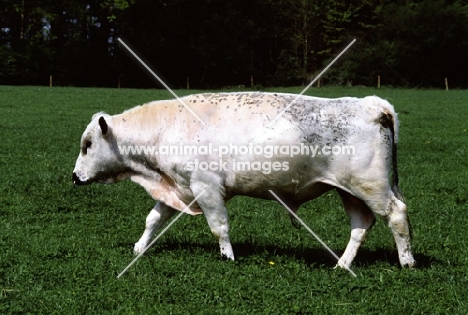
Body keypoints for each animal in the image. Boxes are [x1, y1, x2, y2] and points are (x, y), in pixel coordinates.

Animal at [73, 91, 416, 270]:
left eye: (87, 144)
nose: (75, 177)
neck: (166, 127)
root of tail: (372, 103)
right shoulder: (178, 189)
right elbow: (153, 219)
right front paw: (139, 248)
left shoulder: (206, 189)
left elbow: (219, 227)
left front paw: (227, 256)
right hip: (350, 191)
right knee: (361, 224)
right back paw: (342, 264)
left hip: (371, 187)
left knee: (396, 215)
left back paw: (407, 261)